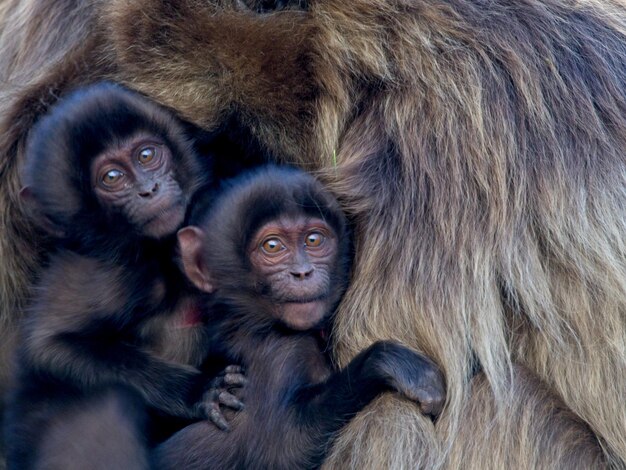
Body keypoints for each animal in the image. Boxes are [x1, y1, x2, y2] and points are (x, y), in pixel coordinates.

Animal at [5, 82, 244, 468]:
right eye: (112, 178)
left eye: (146, 155)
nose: (149, 190)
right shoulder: (114, 277)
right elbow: (50, 348)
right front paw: (198, 391)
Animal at [154, 168, 446, 470]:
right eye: (272, 246)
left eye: (313, 240)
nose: (303, 272)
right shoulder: (282, 354)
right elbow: (284, 450)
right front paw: (387, 364)